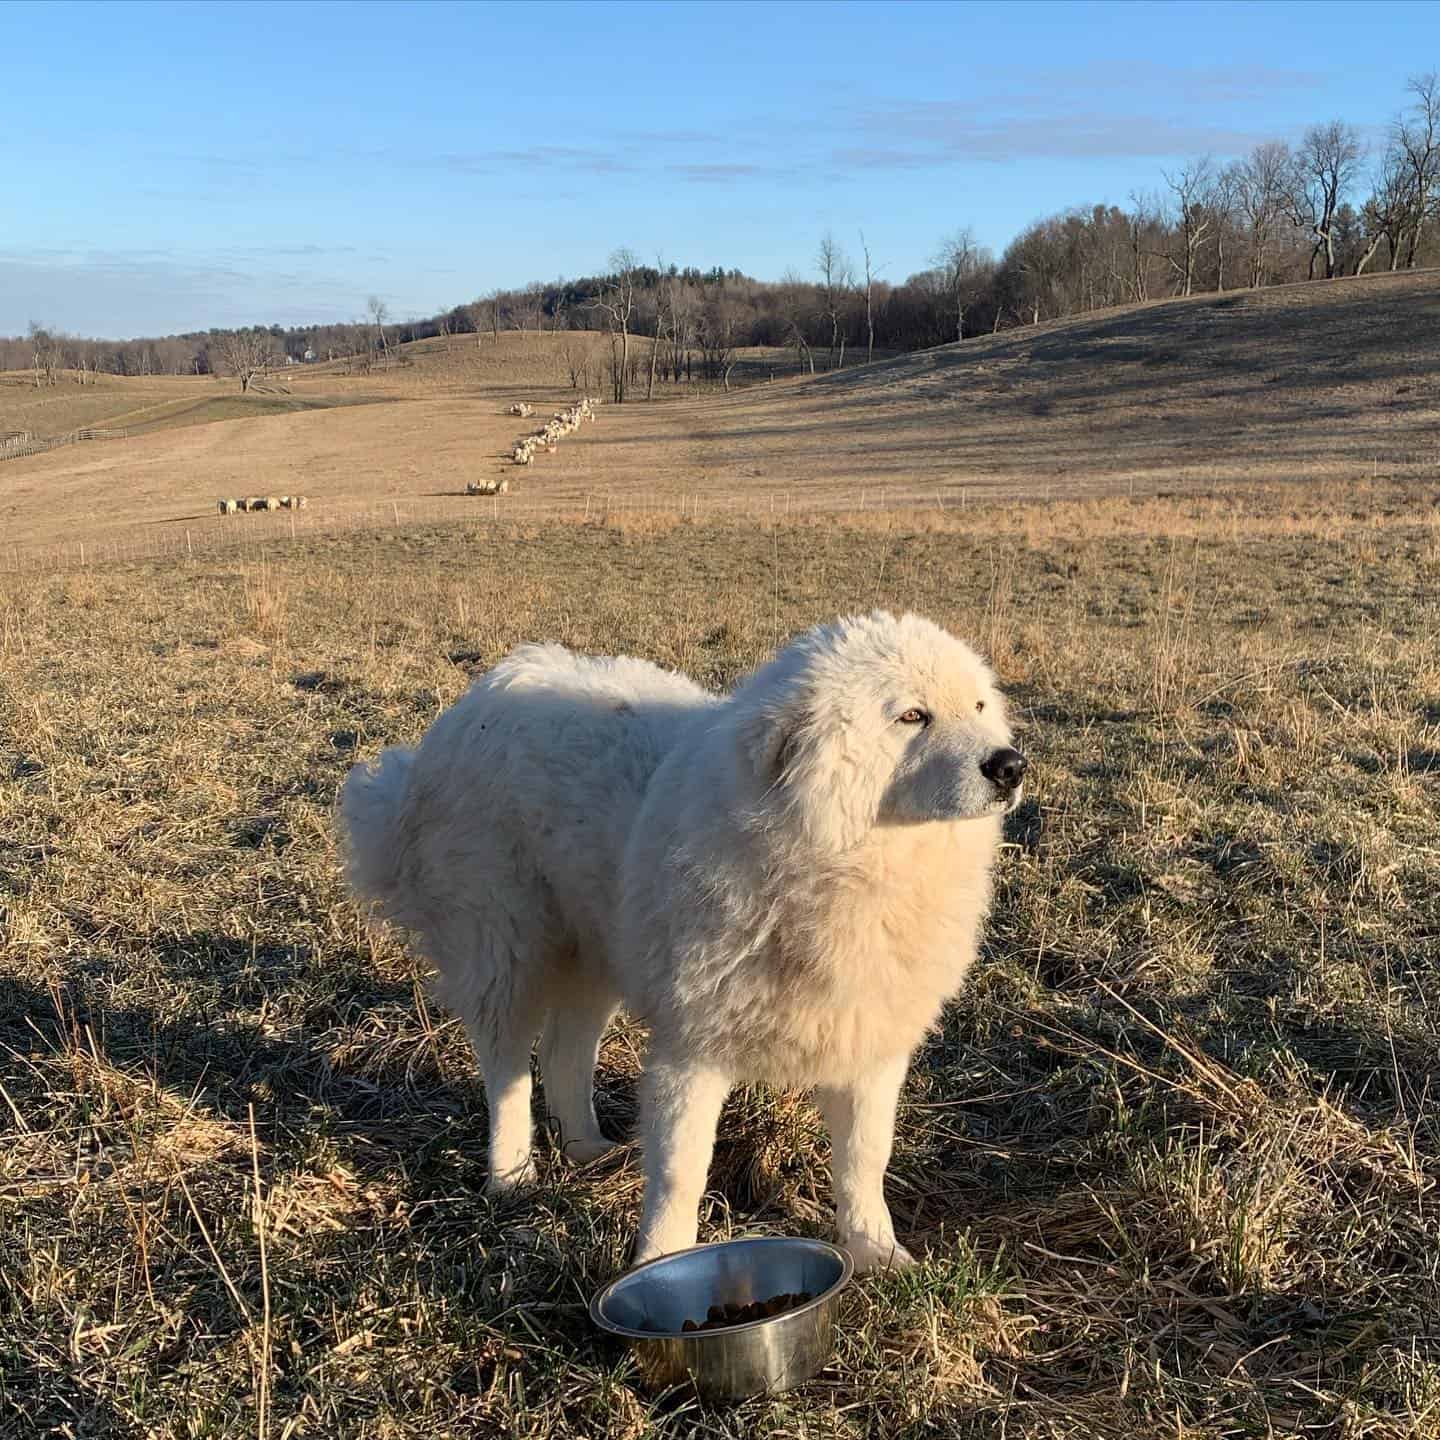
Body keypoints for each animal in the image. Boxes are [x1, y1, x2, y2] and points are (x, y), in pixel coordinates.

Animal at [339, 610, 1025, 1272]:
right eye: (912, 716)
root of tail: (483, 694)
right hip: (507, 948)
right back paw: (512, 1176)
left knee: (564, 1050)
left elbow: (863, 1162)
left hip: (597, 951)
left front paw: (875, 1252)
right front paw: (662, 1260)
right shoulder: (691, 1049)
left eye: (979, 707)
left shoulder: (869, 1043)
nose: (1011, 765)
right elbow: (680, 1171)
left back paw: (586, 1148)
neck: (841, 858)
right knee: (507, 1068)